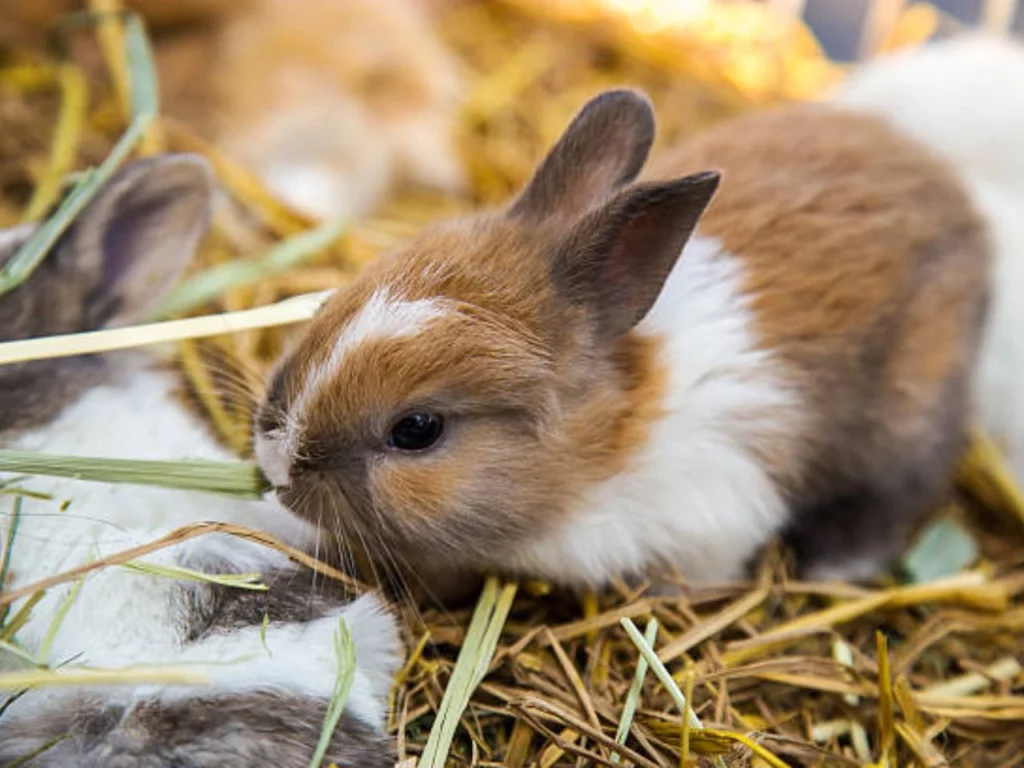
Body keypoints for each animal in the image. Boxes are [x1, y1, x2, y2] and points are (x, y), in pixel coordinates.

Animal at [249, 33, 1024, 593]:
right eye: (334, 303)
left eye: (417, 430)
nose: (278, 465)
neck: (601, 447)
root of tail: (946, 172)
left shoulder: (714, 518)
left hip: (909, 411)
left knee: (901, 488)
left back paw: (837, 567)